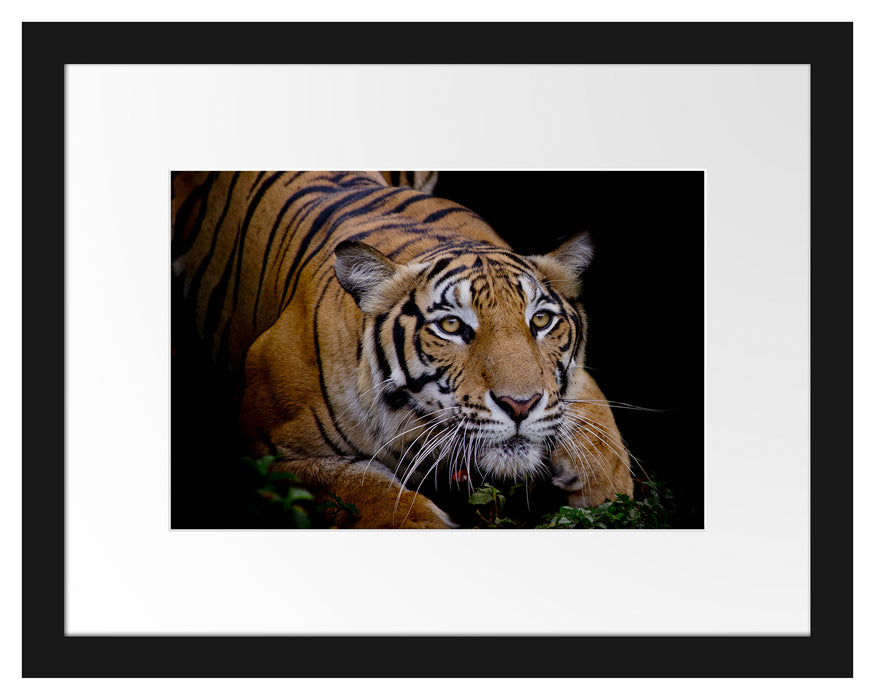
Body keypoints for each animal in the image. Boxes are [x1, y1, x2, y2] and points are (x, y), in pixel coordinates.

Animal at [171, 171, 633, 528]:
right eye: (451, 326)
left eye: (540, 321)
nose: (520, 405)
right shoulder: (269, 456)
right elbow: (368, 493)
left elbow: (597, 422)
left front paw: (606, 492)